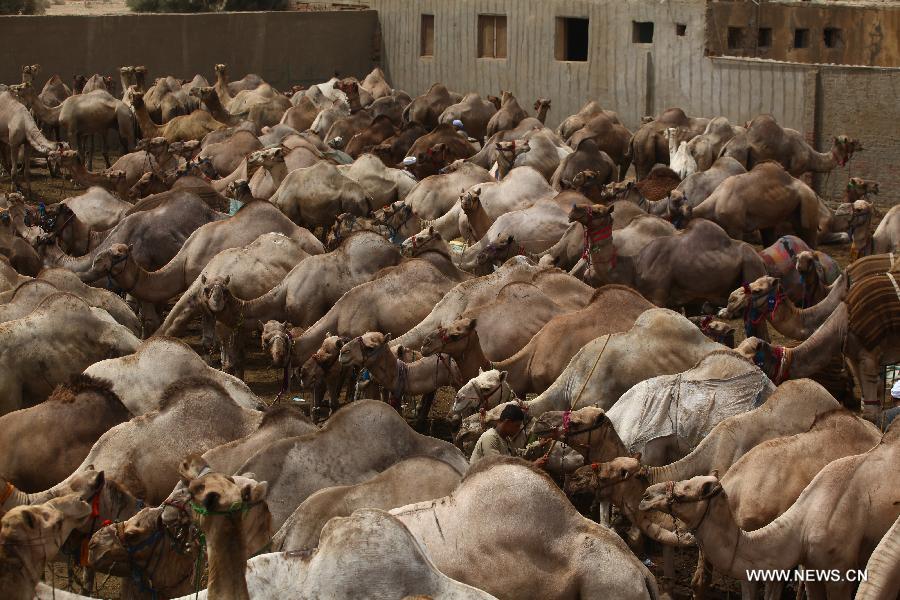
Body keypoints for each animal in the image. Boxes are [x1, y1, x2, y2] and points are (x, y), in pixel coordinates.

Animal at [721, 114, 861, 176]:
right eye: (850, 141)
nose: (860, 144)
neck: (811, 156)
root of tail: (726, 147)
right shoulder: (795, 171)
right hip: (738, 156)